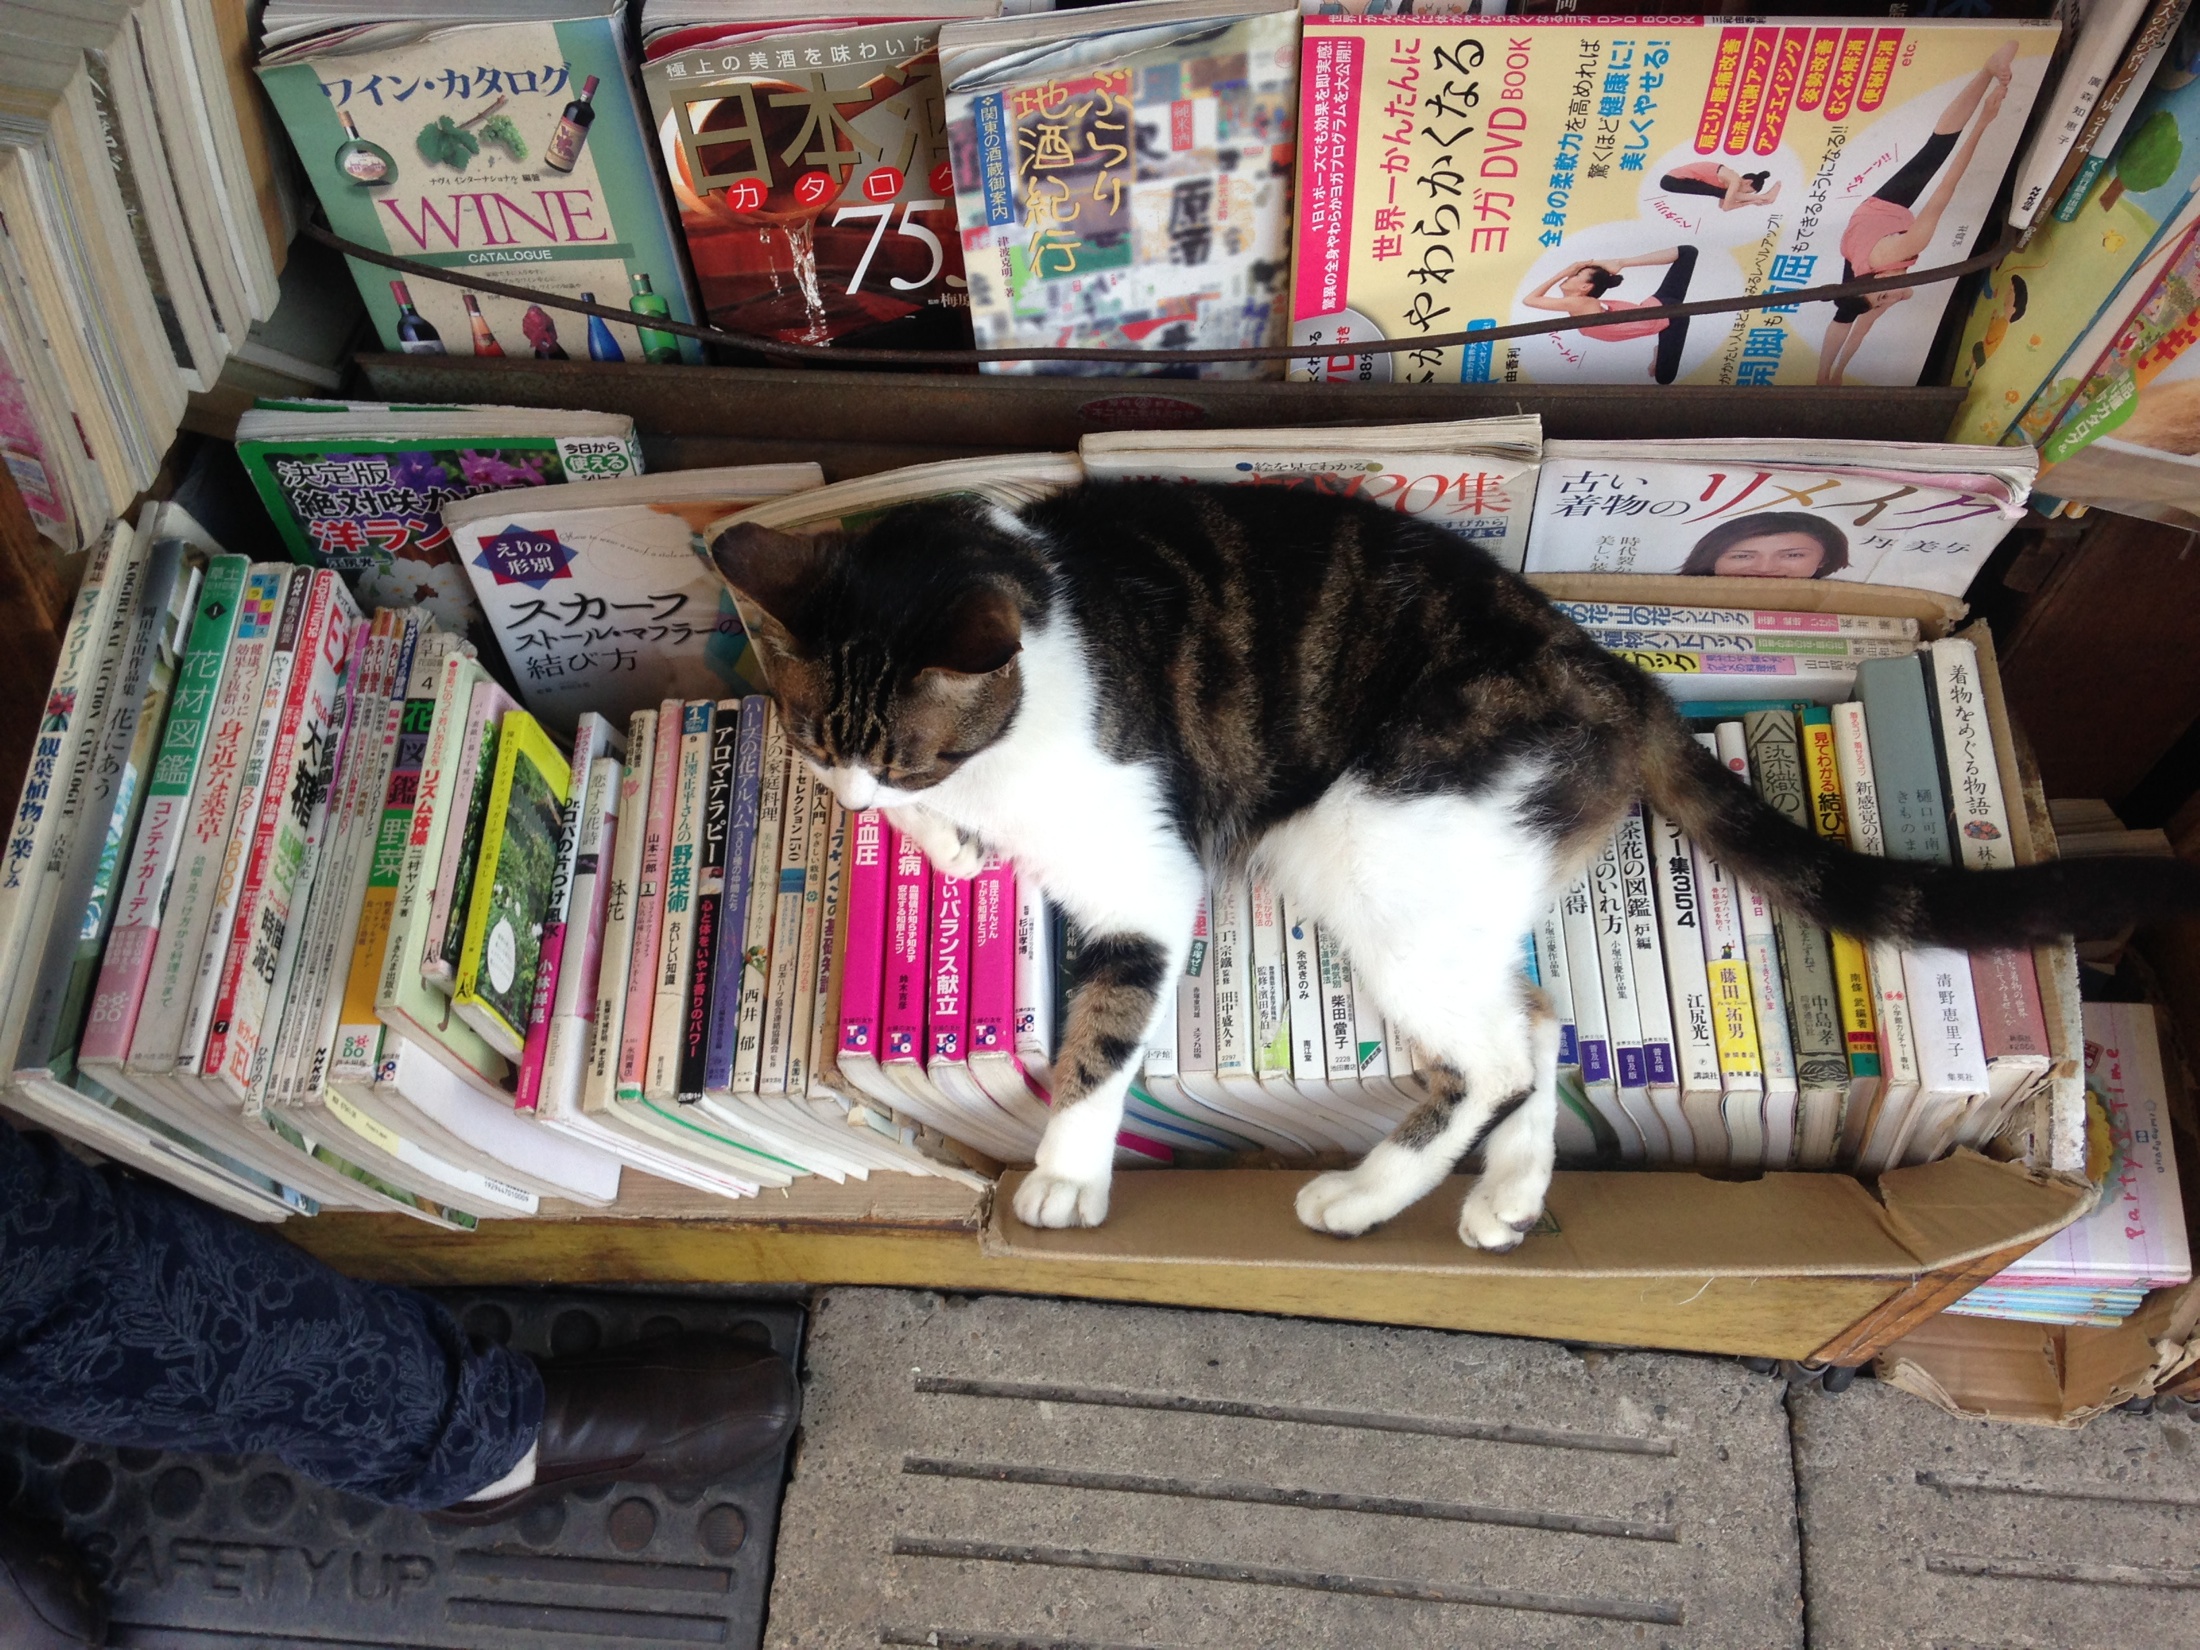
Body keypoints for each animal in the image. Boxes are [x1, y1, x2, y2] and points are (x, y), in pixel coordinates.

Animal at [712, 484, 2191, 1249]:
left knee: (1490, 1059)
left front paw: (1069, 1170)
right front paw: (949, 843)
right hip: (1445, 891)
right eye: (818, 745)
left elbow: (1100, 1035)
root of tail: (1617, 679)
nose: (858, 794)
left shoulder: (1143, 877)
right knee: (1541, 1024)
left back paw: (1368, 1195)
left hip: (1367, 847)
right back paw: (1510, 1195)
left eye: (900, 754)